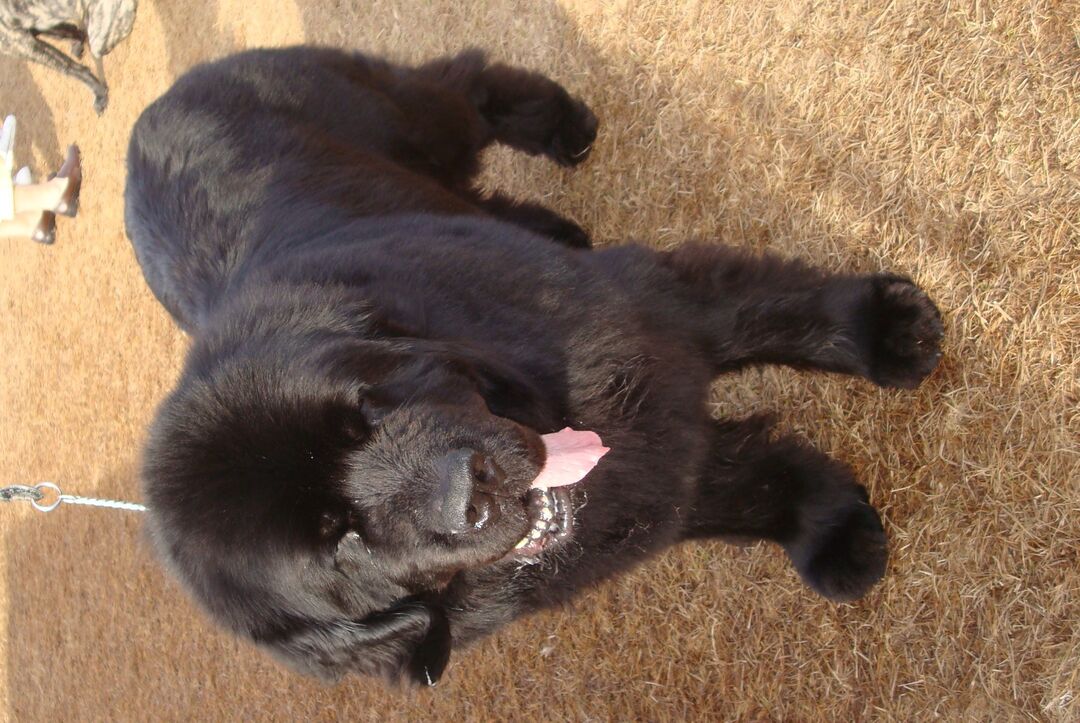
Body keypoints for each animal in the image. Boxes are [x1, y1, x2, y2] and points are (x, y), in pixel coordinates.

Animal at [122, 47, 941, 687]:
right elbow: (743, 487)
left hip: (411, 118)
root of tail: (144, 120)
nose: (471, 488)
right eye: (341, 539)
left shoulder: (648, 311)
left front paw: (888, 332)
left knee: (465, 80)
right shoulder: (647, 468)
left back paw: (562, 124)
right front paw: (832, 526)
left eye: (367, 411)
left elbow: (777, 314)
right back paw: (550, 221)